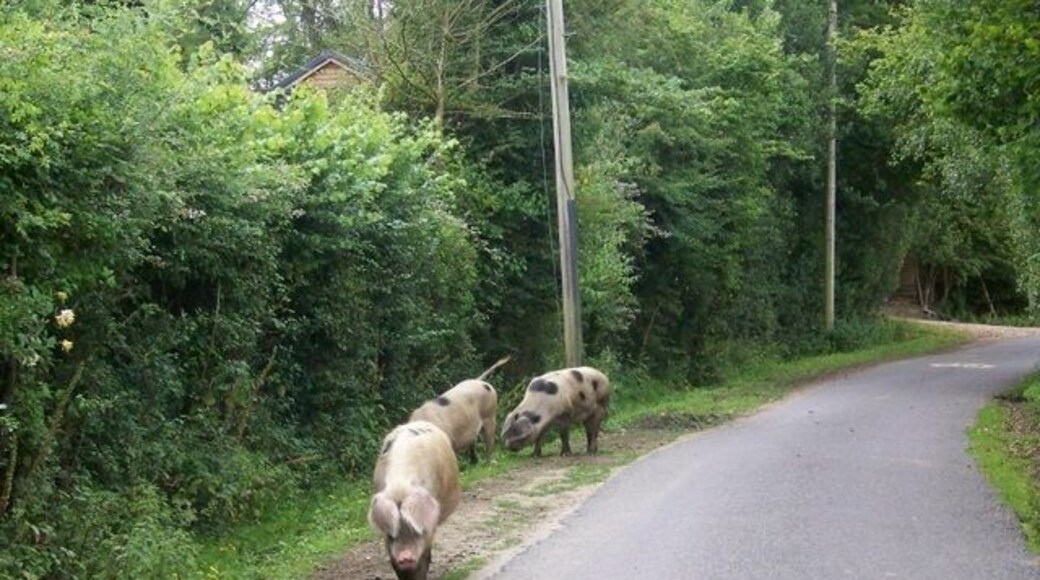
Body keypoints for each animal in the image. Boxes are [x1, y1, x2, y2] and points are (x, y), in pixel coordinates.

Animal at [368, 421, 461, 580]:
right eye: (391, 535)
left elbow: (424, 558)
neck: (400, 488)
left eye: (416, 531)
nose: (405, 556)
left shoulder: (429, 528)